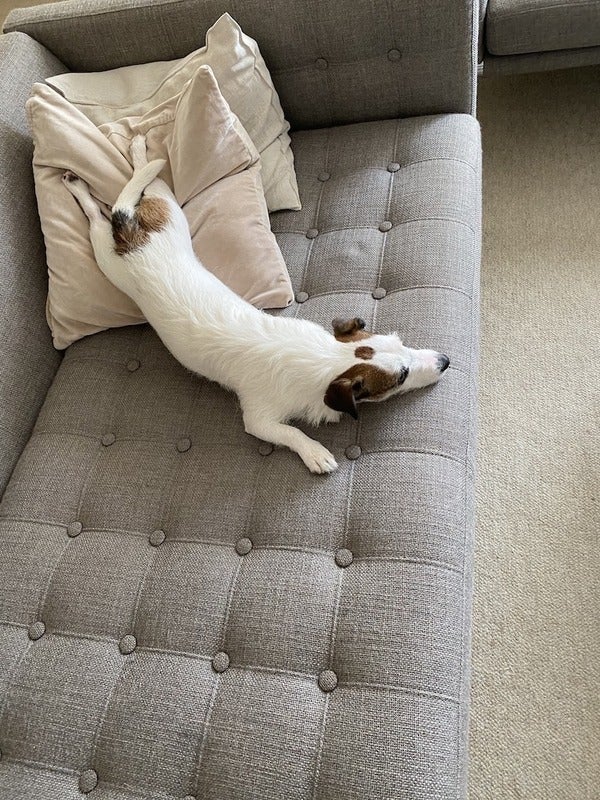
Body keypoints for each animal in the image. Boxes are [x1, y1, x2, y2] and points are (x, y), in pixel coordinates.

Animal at [62, 135, 450, 473]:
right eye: (401, 377)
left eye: (401, 342)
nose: (445, 361)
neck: (323, 355)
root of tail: (131, 235)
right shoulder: (259, 418)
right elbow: (288, 431)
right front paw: (315, 452)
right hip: (110, 260)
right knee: (101, 213)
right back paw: (87, 187)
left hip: (167, 212)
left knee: (139, 184)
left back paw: (135, 152)